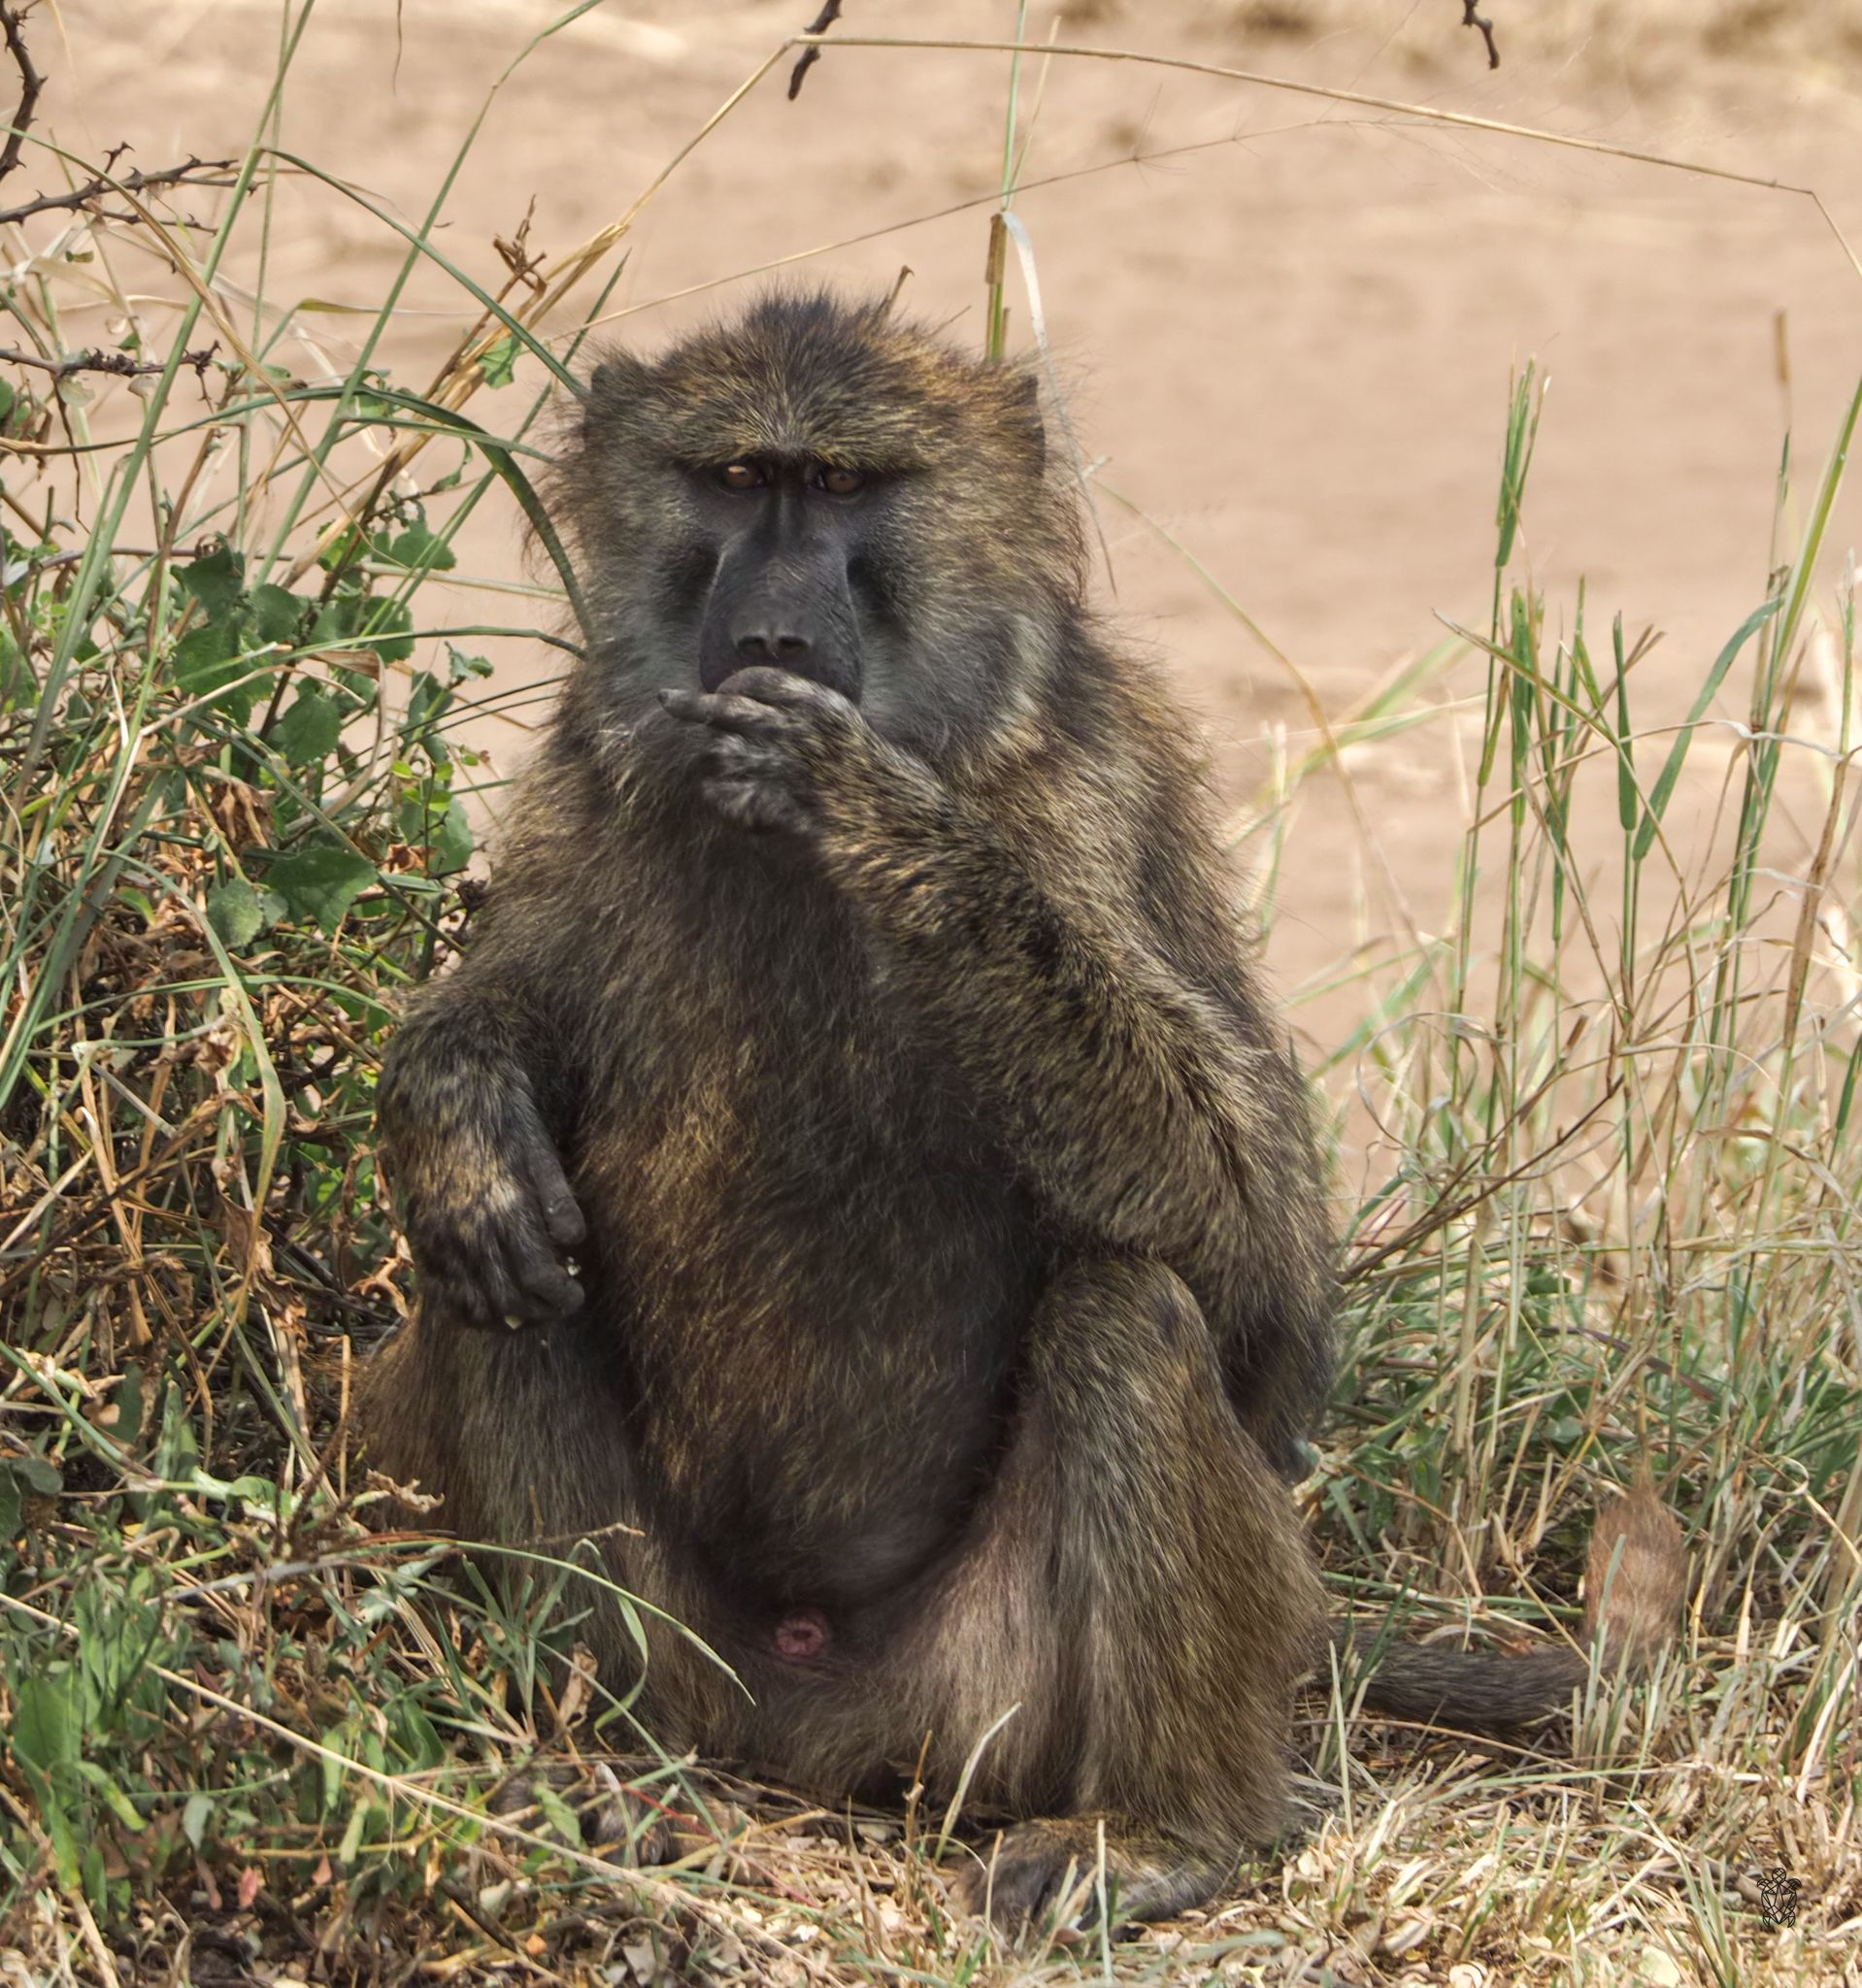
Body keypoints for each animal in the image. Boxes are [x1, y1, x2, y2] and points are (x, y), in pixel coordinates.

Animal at [358, 291, 1683, 1933]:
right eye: (732, 480)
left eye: (845, 486)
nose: (773, 635)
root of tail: (805, 1731)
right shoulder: (584, 775)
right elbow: (510, 1030)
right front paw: (458, 1109)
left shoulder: (1090, 797)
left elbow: (1262, 1265)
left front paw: (874, 812)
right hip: (699, 1663)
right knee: (501, 1292)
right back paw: (597, 1771)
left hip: (983, 1706)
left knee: (1125, 1315)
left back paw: (1166, 1831)